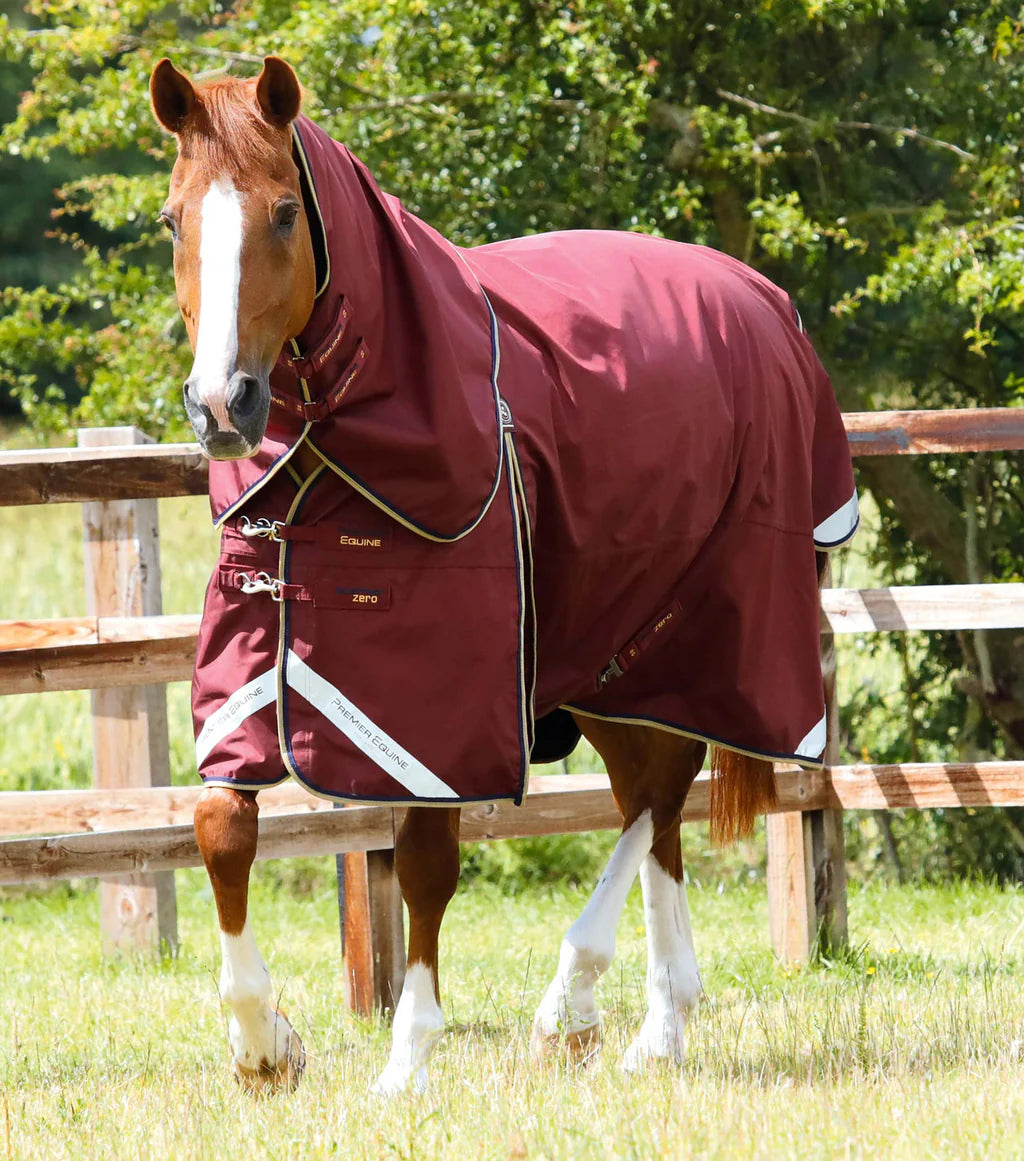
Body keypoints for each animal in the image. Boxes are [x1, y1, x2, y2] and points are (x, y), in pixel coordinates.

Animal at [149, 54, 854, 1091]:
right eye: (173, 219)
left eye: (283, 212)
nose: (221, 405)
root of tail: (765, 303)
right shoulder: (254, 657)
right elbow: (219, 823)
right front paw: (264, 1044)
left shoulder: (435, 706)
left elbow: (427, 858)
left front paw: (406, 1057)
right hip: (608, 653)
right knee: (653, 797)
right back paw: (658, 1023)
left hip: (705, 628)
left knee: (661, 786)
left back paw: (578, 1003)